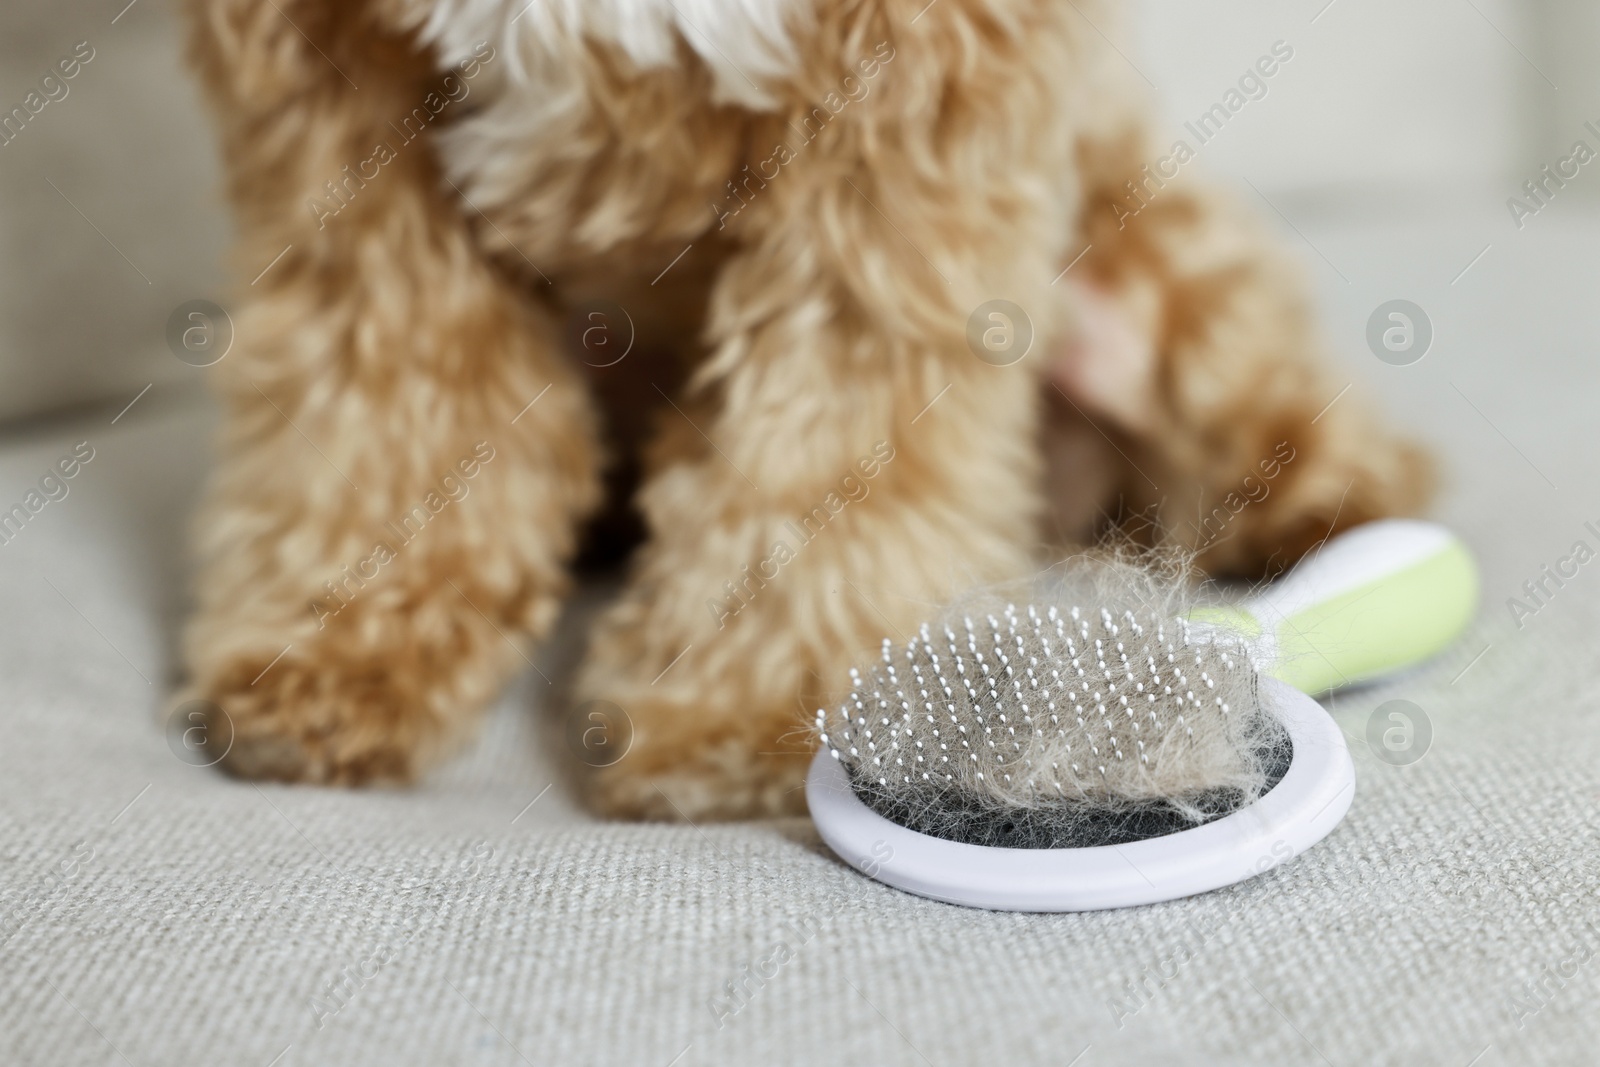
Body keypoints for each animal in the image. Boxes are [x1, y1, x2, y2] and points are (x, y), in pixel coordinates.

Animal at [181, 0, 1433, 819]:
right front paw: (347, 637)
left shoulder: (912, 93)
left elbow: (835, 426)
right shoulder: (329, 95)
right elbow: (387, 387)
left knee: (1263, 393)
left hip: (1152, 257)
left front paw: (762, 709)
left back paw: (1324, 508)